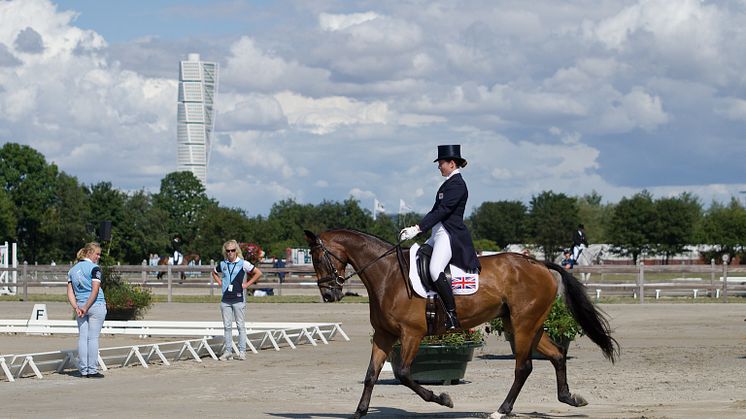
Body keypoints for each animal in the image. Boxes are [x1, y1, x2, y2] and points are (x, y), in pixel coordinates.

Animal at [302, 230, 616, 419]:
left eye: (317, 258)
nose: (329, 295)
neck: (387, 275)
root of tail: (539, 264)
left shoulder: (411, 334)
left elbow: (403, 373)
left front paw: (443, 398)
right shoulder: (384, 335)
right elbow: (371, 375)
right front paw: (359, 413)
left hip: (523, 324)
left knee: (524, 367)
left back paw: (501, 410)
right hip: (526, 324)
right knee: (557, 355)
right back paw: (570, 398)